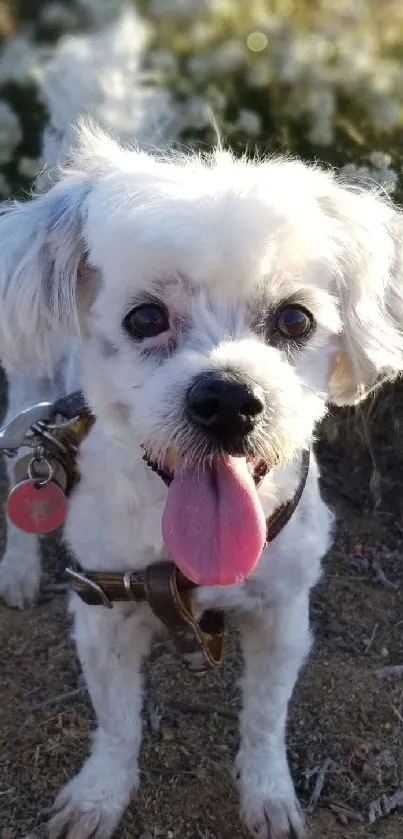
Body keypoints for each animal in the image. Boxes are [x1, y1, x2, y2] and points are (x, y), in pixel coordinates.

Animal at [0, 120, 403, 839]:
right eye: (144, 318)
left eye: (295, 319)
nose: (227, 400)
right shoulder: (102, 613)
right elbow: (117, 725)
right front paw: (100, 794)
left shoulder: (282, 616)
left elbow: (265, 719)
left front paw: (267, 793)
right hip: (29, 390)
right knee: (23, 481)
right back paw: (17, 570)